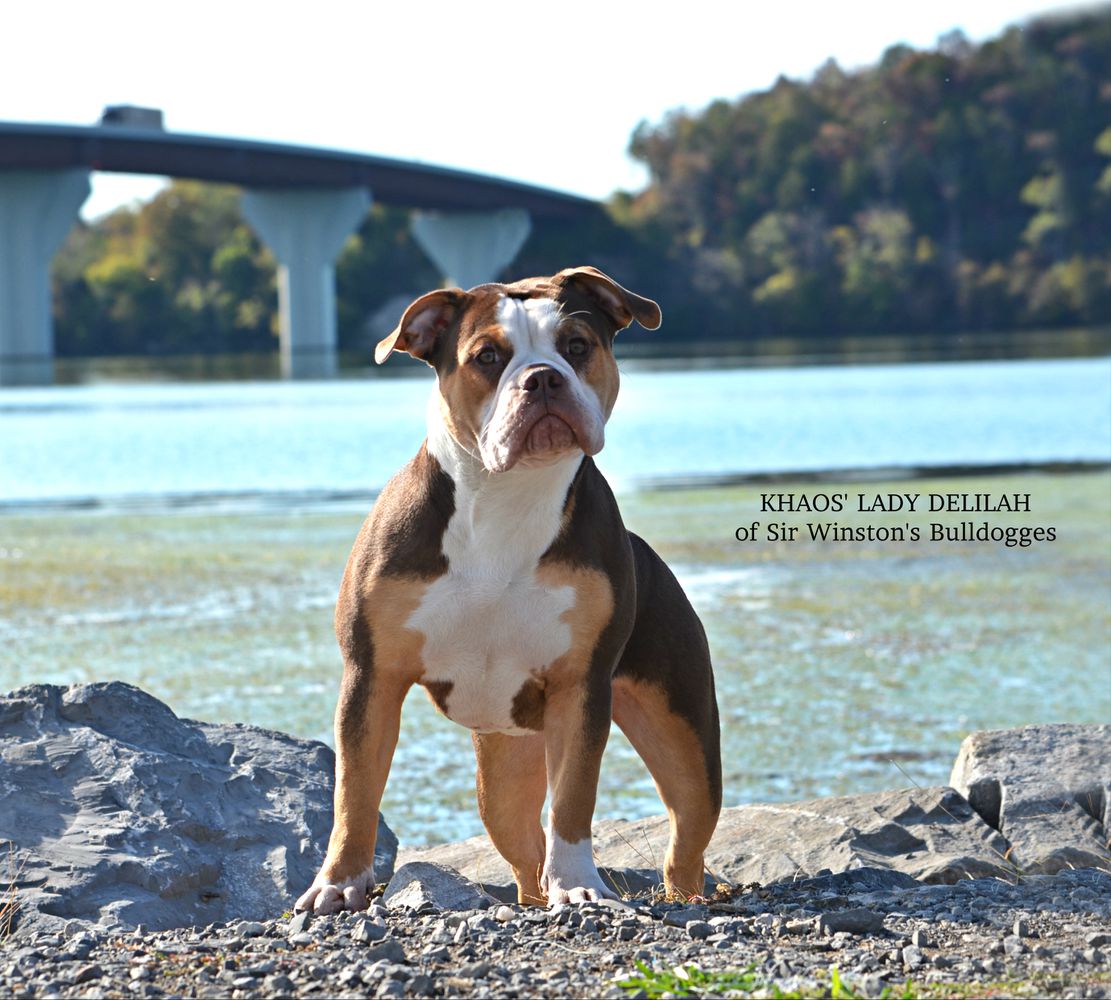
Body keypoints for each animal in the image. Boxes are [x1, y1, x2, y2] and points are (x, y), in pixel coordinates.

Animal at [295, 267, 719, 915]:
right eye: (487, 356)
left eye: (577, 345)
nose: (542, 378)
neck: (507, 497)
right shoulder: (371, 678)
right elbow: (354, 793)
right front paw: (337, 882)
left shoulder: (579, 686)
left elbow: (573, 799)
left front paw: (579, 886)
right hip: (502, 770)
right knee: (522, 852)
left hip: (685, 740)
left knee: (684, 838)